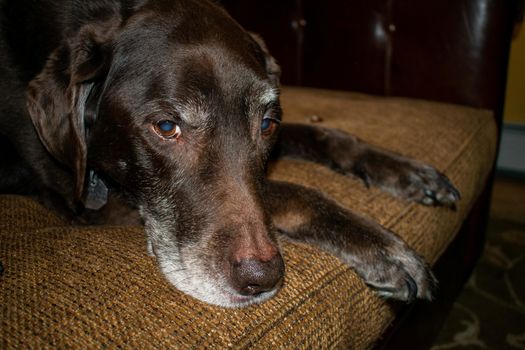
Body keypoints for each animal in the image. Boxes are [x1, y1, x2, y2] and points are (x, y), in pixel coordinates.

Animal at [0, 0, 458, 306]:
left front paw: (406, 171)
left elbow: (324, 134)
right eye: (166, 127)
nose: (261, 279)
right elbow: (289, 190)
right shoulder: (93, 205)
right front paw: (383, 248)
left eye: (267, 124)